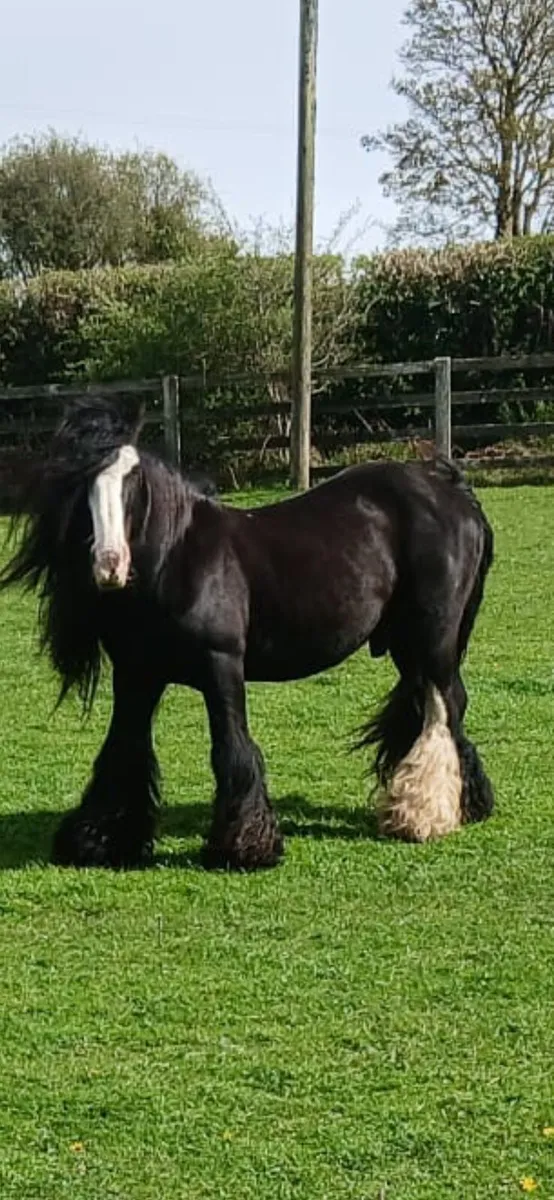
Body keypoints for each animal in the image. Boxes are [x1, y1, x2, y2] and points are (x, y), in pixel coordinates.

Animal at [0, 396, 494, 870]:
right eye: (79, 487)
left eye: (133, 483)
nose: (109, 566)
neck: (178, 559)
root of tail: (448, 487)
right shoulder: (137, 674)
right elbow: (123, 751)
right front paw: (101, 841)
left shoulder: (221, 665)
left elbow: (231, 750)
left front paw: (243, 848)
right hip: (406, 644)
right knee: (441, 703)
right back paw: (461, 804)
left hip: (432, 636)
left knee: (443, 706)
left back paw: (422, 815)